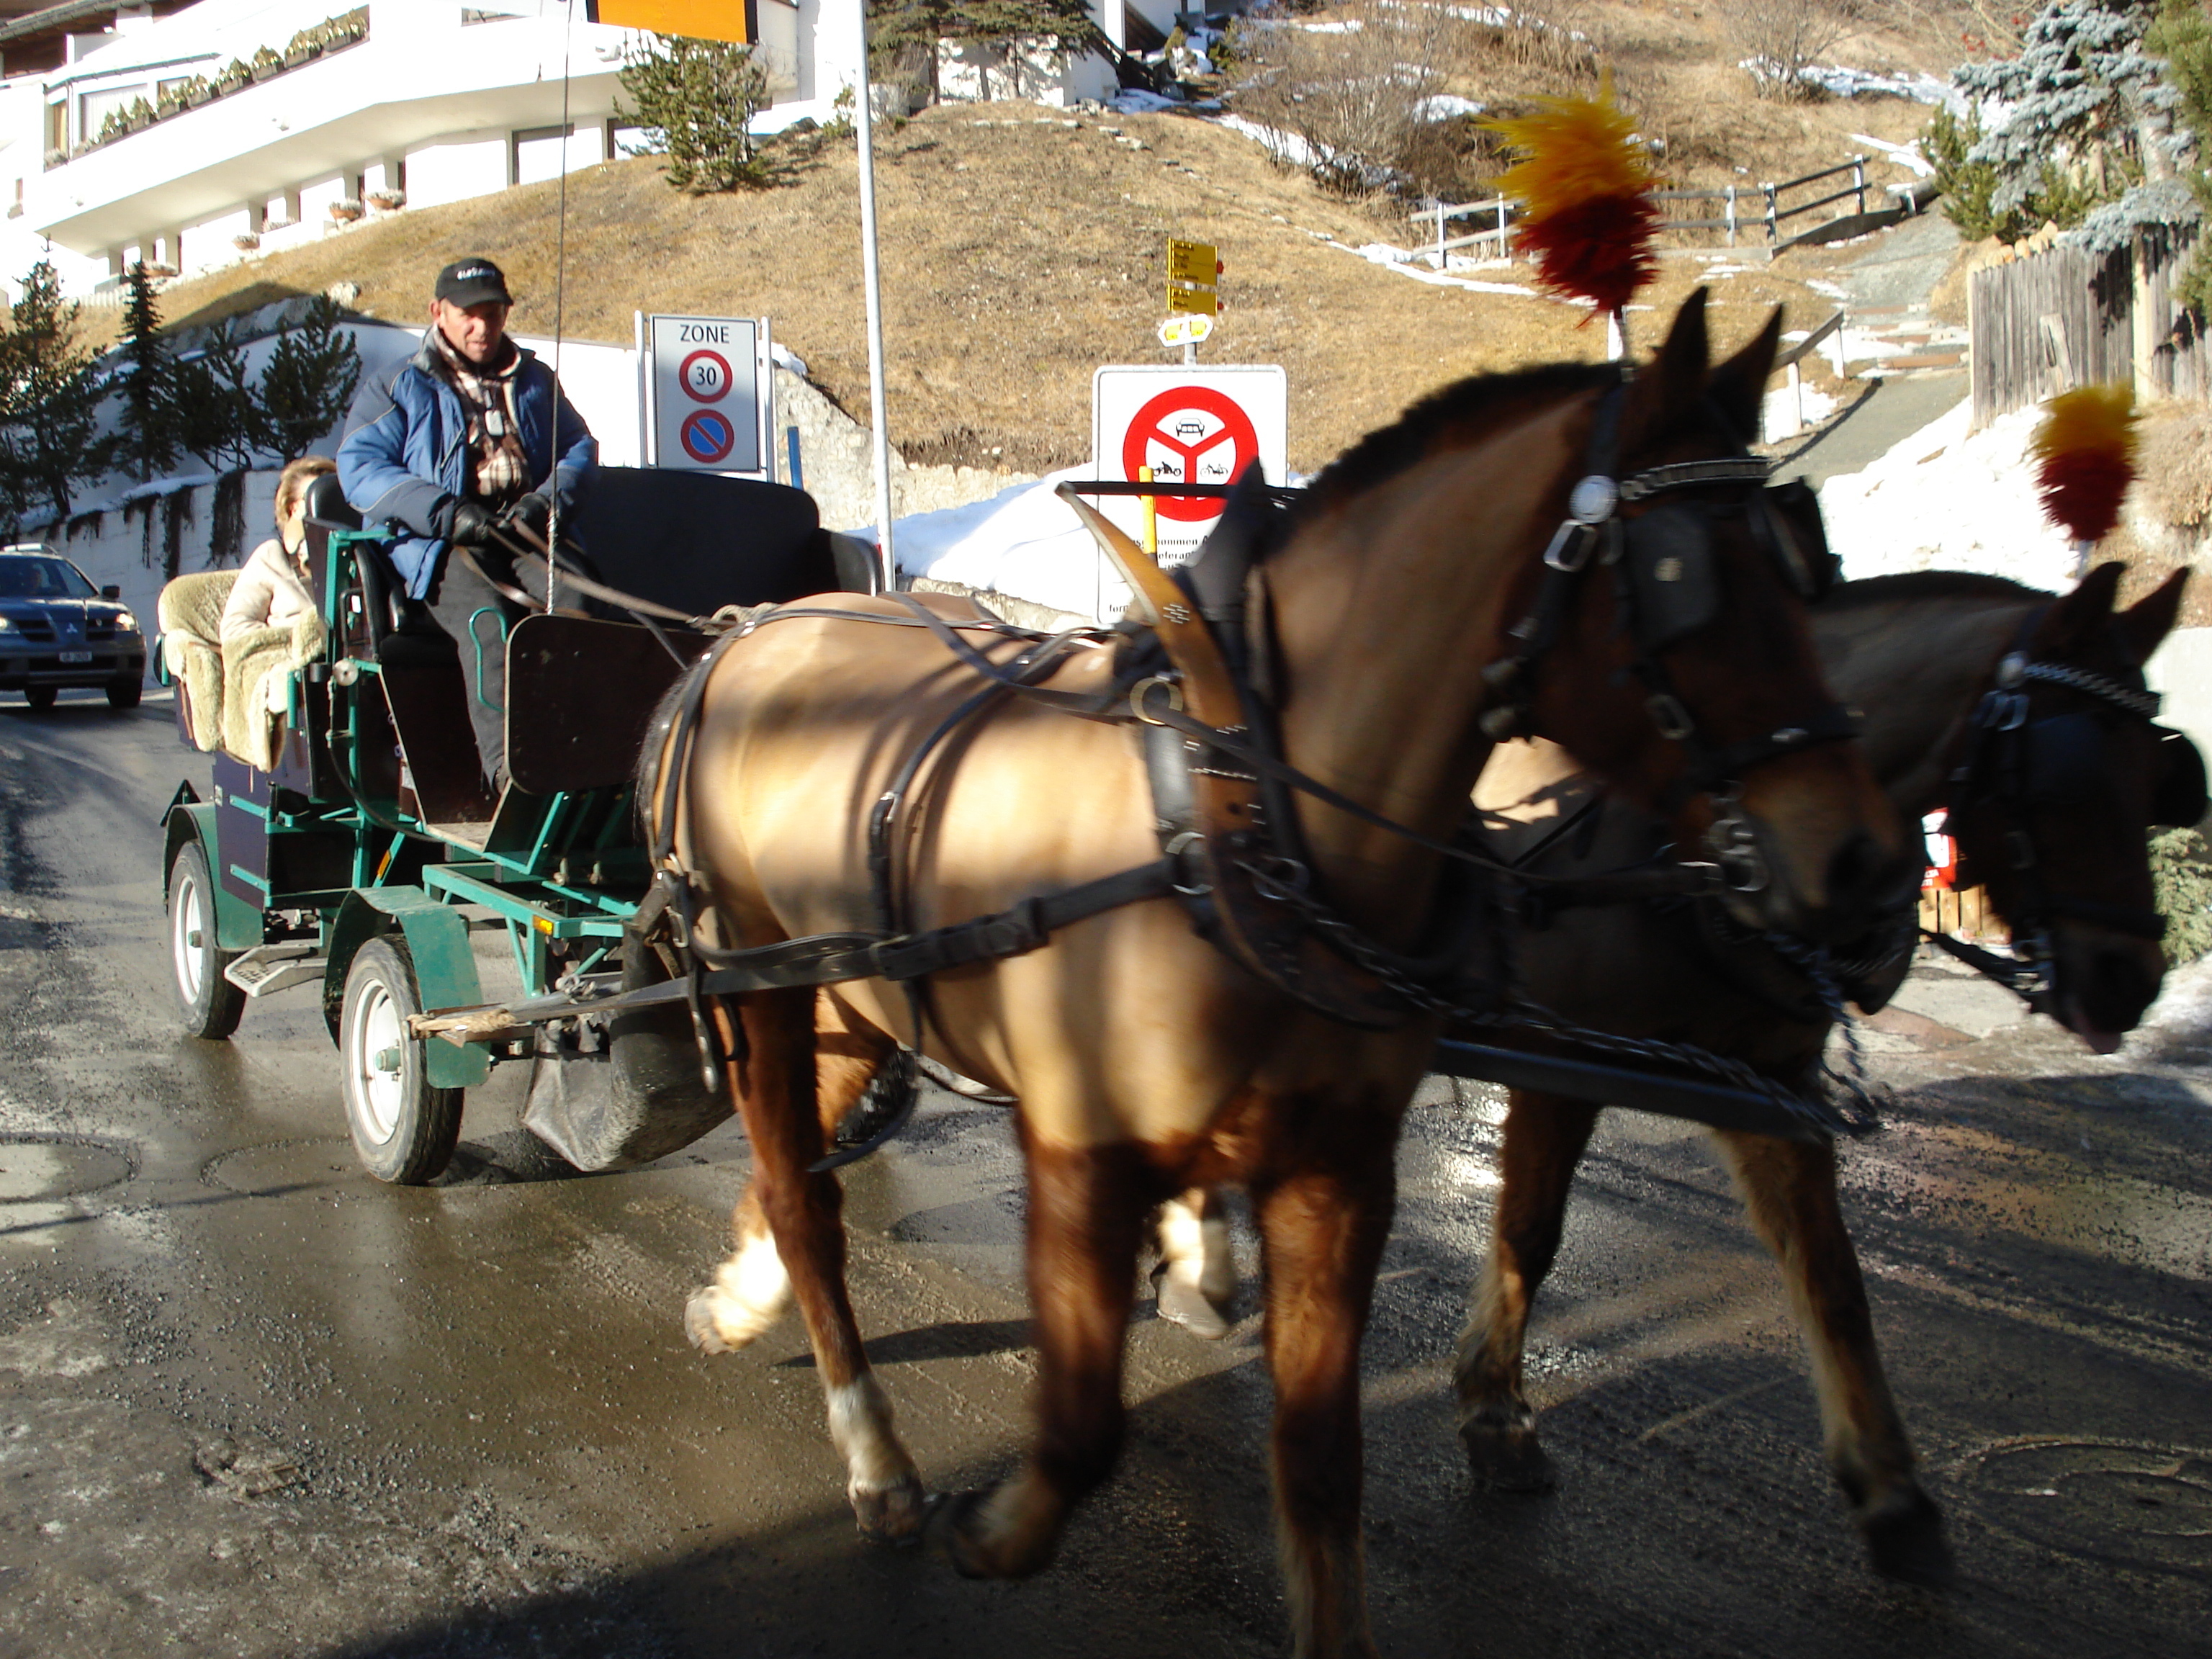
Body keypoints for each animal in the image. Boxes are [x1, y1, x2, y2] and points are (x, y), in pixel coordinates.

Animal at [650, 292, 1902, 1654]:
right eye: (1681, 578)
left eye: (1813, 567)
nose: (1862, 862)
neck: (1242, 818)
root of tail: (752, 632)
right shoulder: (1080, 1152)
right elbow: (1081, 1428)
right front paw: (996, 1529)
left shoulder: (1338, 1171)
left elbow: (1318, 1456)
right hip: (754, 982)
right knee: (803, 1198)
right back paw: (872, 1453)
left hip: (858, 988)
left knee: (799, 1162)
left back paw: (742, 1295)